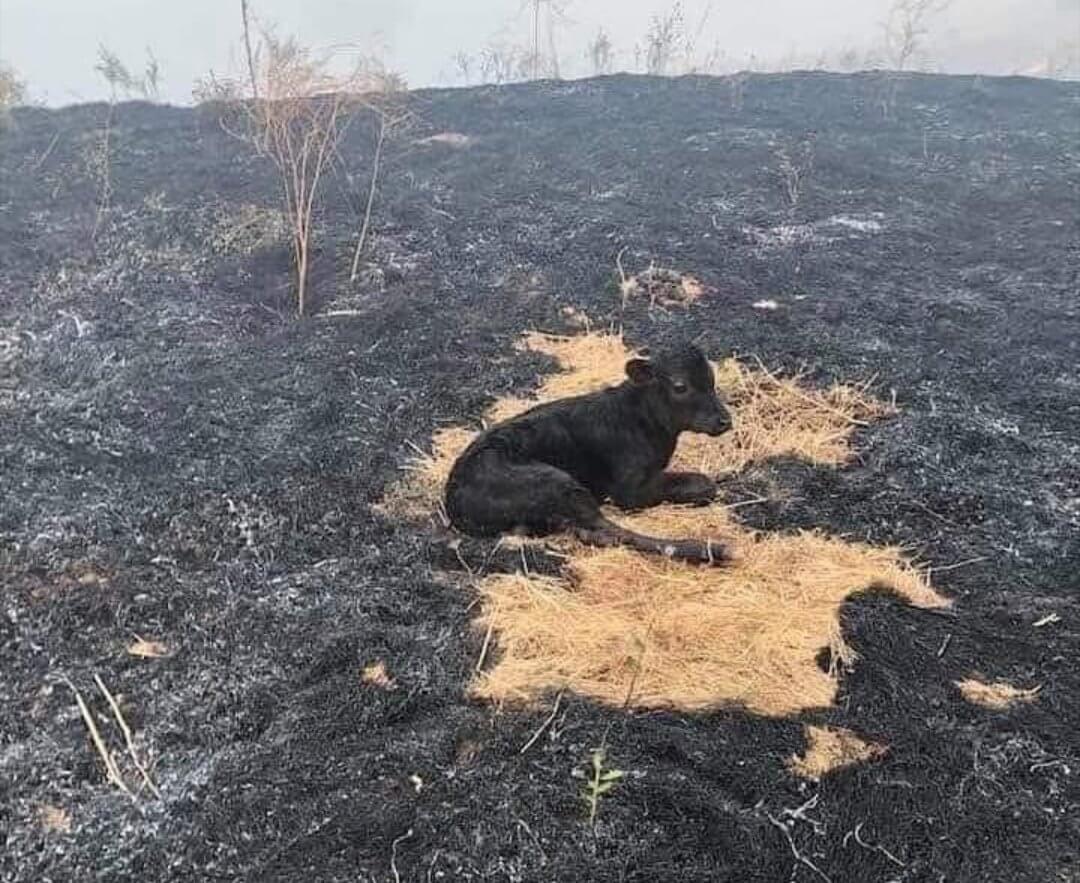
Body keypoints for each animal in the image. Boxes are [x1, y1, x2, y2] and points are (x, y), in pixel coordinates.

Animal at [444, 341, 734, 561]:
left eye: (712, 380)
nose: (725, 421)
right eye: (680, 386)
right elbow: (704, 484)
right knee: (606, 530)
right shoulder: (630, 490)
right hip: (555, 482)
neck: (641, 417)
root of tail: (454, 503)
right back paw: (712, 549)